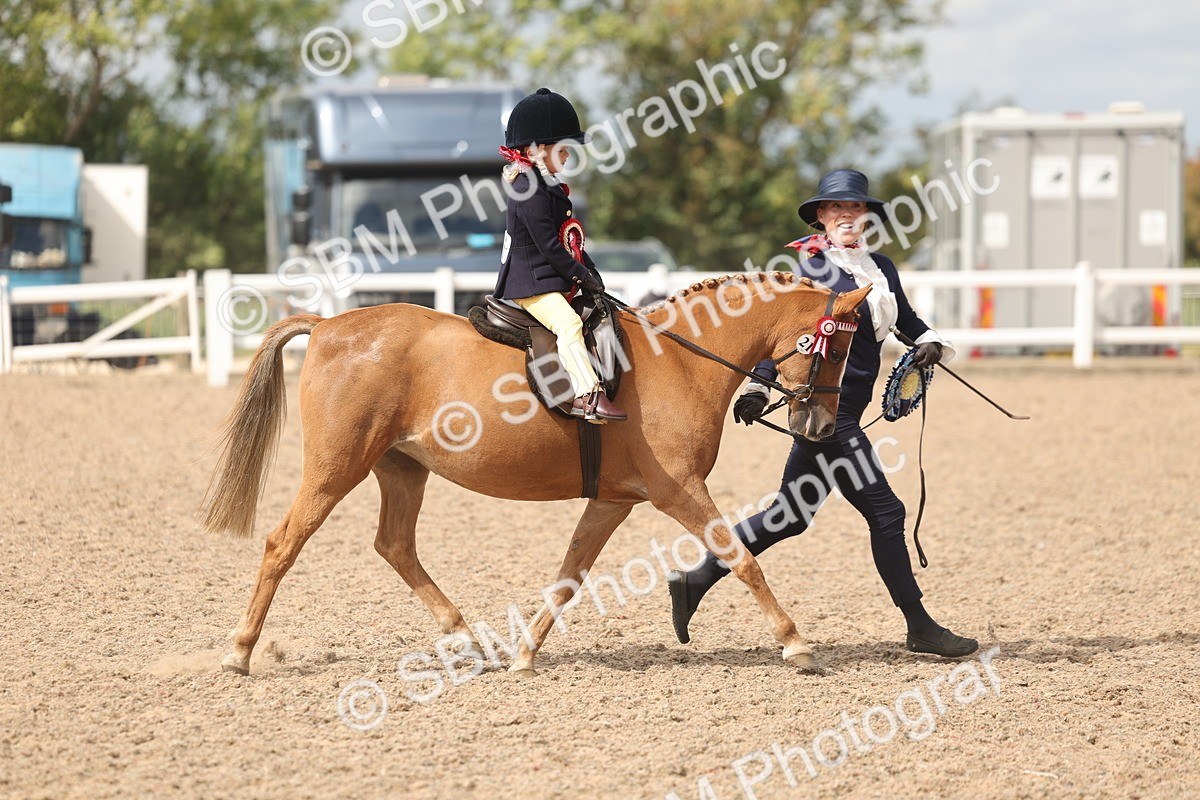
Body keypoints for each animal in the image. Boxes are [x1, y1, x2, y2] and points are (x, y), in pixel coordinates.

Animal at [200, 273, 871, 675]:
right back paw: (239, 652)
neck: (680, 360)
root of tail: (328, 325)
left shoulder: (614, 501)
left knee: (394, 545)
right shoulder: (678, 490)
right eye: (836, 348)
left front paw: (524, 655)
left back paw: (467, 639)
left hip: (401, 468)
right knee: (284, 543)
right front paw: (796, 642)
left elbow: (569, 576)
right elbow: (743, 558)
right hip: (337, 468)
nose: (818, 426)